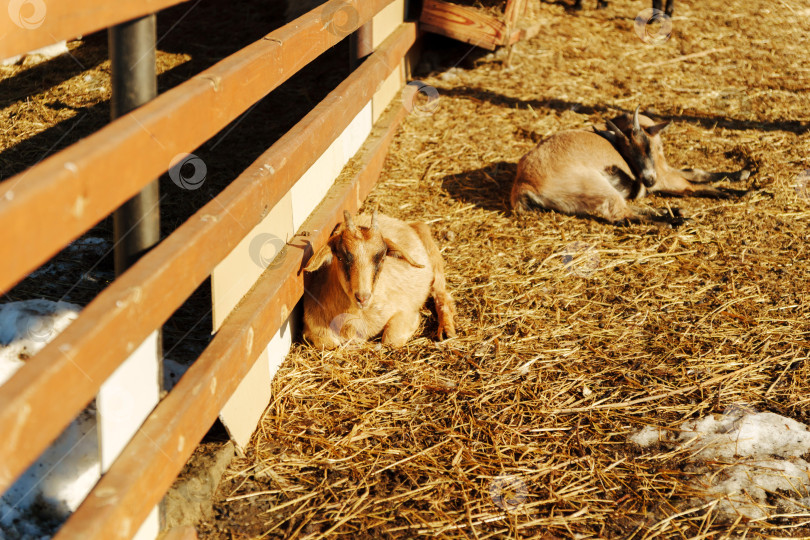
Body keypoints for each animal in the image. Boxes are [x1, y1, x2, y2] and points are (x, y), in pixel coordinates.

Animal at [303, 210, 456, 349]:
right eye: (340, 257)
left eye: (382, 258)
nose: (362, 298)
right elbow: (327, 343)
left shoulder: (405, 310)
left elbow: (391, 339)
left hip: (433, 259)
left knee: (442, 294)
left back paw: (446, 331)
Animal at [510, 108, 680, 225]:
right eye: (627, 153)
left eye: (648, 147)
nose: (649, 181)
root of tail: (523, 183)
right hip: (597, 188)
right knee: (622, 215)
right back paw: (672, 222)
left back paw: (671, 211)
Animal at [607, 112, 753, 199]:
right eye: (627, 156)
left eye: (649, 148)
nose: (649, 181)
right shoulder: (663, 175)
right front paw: (743, 186)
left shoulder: (663, 170)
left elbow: (695, 172)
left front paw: (741, 174)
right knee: (694, 187)